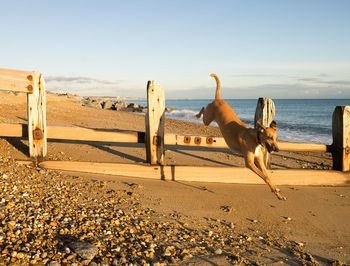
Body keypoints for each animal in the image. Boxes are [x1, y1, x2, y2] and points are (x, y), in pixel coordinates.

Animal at [196, 72, 286, 200]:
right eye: (269, 137)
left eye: (276, 138)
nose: (277, 149)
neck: (256, 138)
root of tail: (218, 99)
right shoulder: (250, 163)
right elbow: (263, 176)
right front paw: (276, 191)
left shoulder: (259, 160)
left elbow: (267, 176)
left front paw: (277, 192)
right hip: (207, 119)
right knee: (204, 109)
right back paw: (198, 114)